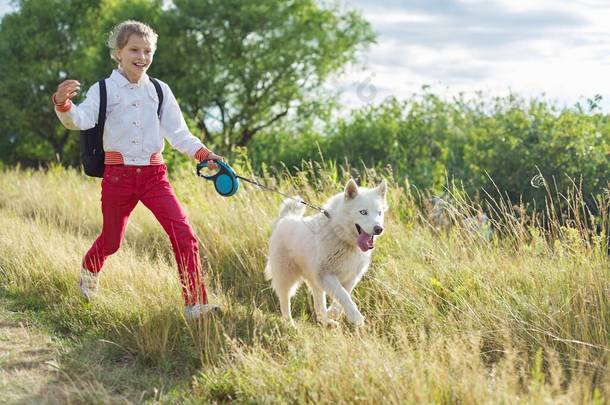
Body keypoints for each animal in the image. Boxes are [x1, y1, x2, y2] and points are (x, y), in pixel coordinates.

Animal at [264, 178, 388, 326]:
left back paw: (326, 321)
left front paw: (333, 313)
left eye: (379, 213)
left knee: (318, 304)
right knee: (284, 301)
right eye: (363, 212)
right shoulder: (326, 275)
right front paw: (355, 317)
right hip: (286, 277)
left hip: (314, 280)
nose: (378, 229)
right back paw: (290, 325)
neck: (342, 238)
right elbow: (343, 295)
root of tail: (285, 218)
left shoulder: (351, 278)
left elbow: (343, 297)